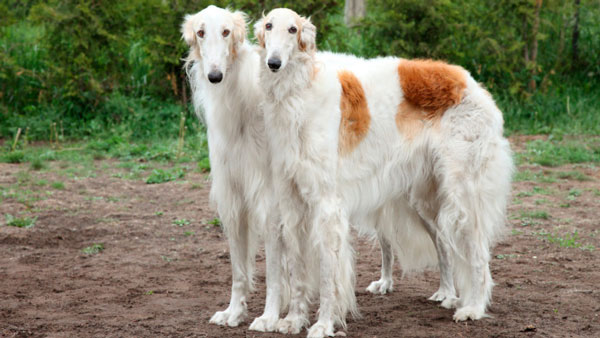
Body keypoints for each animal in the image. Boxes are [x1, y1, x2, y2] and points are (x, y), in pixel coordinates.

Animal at [180, 6, 288, 332]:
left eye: (226, 32)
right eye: (201, 32)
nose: (215, 76)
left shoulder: (270, 200)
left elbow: (275, 272)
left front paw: (269, 317)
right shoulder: (233, 196)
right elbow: (239, 269)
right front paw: (233, 312)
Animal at [255, 7, 512, 338]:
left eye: (292, 29)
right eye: (268, 26)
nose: (273, 63)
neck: (299, 95)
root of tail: (471, 82)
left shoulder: (327, 204)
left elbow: (327, 273)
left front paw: (323, 324)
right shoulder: (292, 202)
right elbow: (298, 269)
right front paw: (293, 320)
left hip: (462, 194)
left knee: (479, 253)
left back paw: (474, 308)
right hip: (425, 199)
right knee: (443, 243)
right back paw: (447, 293)